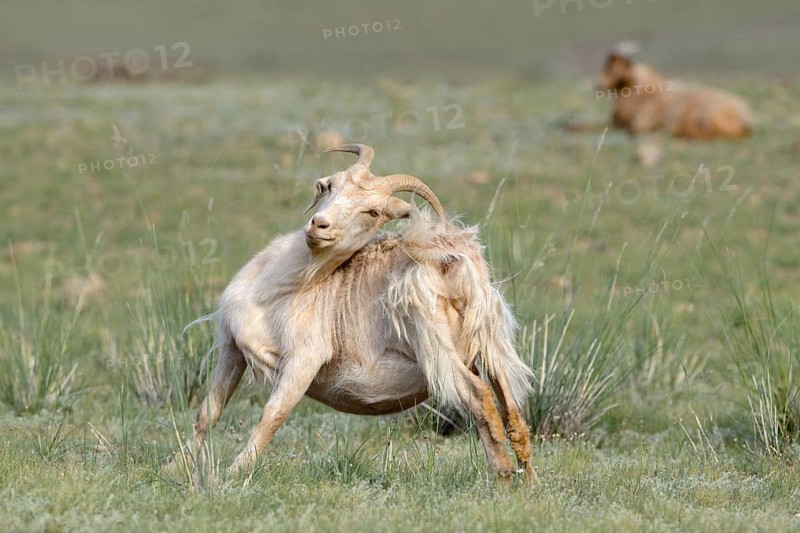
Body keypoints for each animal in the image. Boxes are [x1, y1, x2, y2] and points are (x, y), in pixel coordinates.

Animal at [187, 144, 537, 480]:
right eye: (330, 185)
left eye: (373, 211)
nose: (319, 225)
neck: (282, 292)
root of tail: (455, 262)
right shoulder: (232, 347)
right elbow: (208, 413)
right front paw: (179, 467)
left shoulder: (305, 358)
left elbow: (272, 416)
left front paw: (234, 473)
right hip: (489, 342)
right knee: (511, 410)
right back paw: (524, 482)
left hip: (437, 346)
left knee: (480, 398)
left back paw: (505, 475)